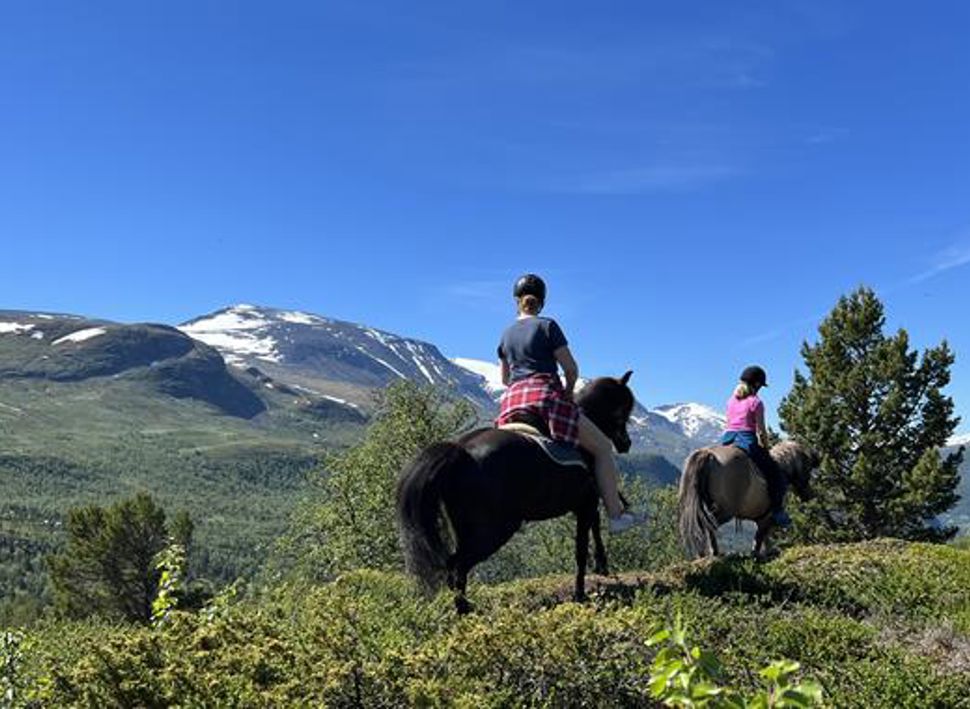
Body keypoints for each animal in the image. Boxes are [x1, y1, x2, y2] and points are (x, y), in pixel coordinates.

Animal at [394, 374, 636, 612]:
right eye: (623, 409)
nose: (626, 444)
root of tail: (460, 451)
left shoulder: (585, 504)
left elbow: (594, 527)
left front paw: (601, 565)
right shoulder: (585, 504)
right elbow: (581, 550)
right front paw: (580, 594)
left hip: (466, 527)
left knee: (453, 566)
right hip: (495, 529)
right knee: (457, 564)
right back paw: (464, 610)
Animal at [676, 442, 820, 560]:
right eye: (808, 468)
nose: (810, 495)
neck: (782, 470)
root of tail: (708, 453)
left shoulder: (761, 519)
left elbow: (763, 537)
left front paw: (766, 551)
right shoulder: (766, 518)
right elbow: (760, 537)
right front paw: (759, 554)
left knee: (700, 525)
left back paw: (703, 554)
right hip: (726, 511)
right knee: (708, 524)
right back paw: (713, 552)